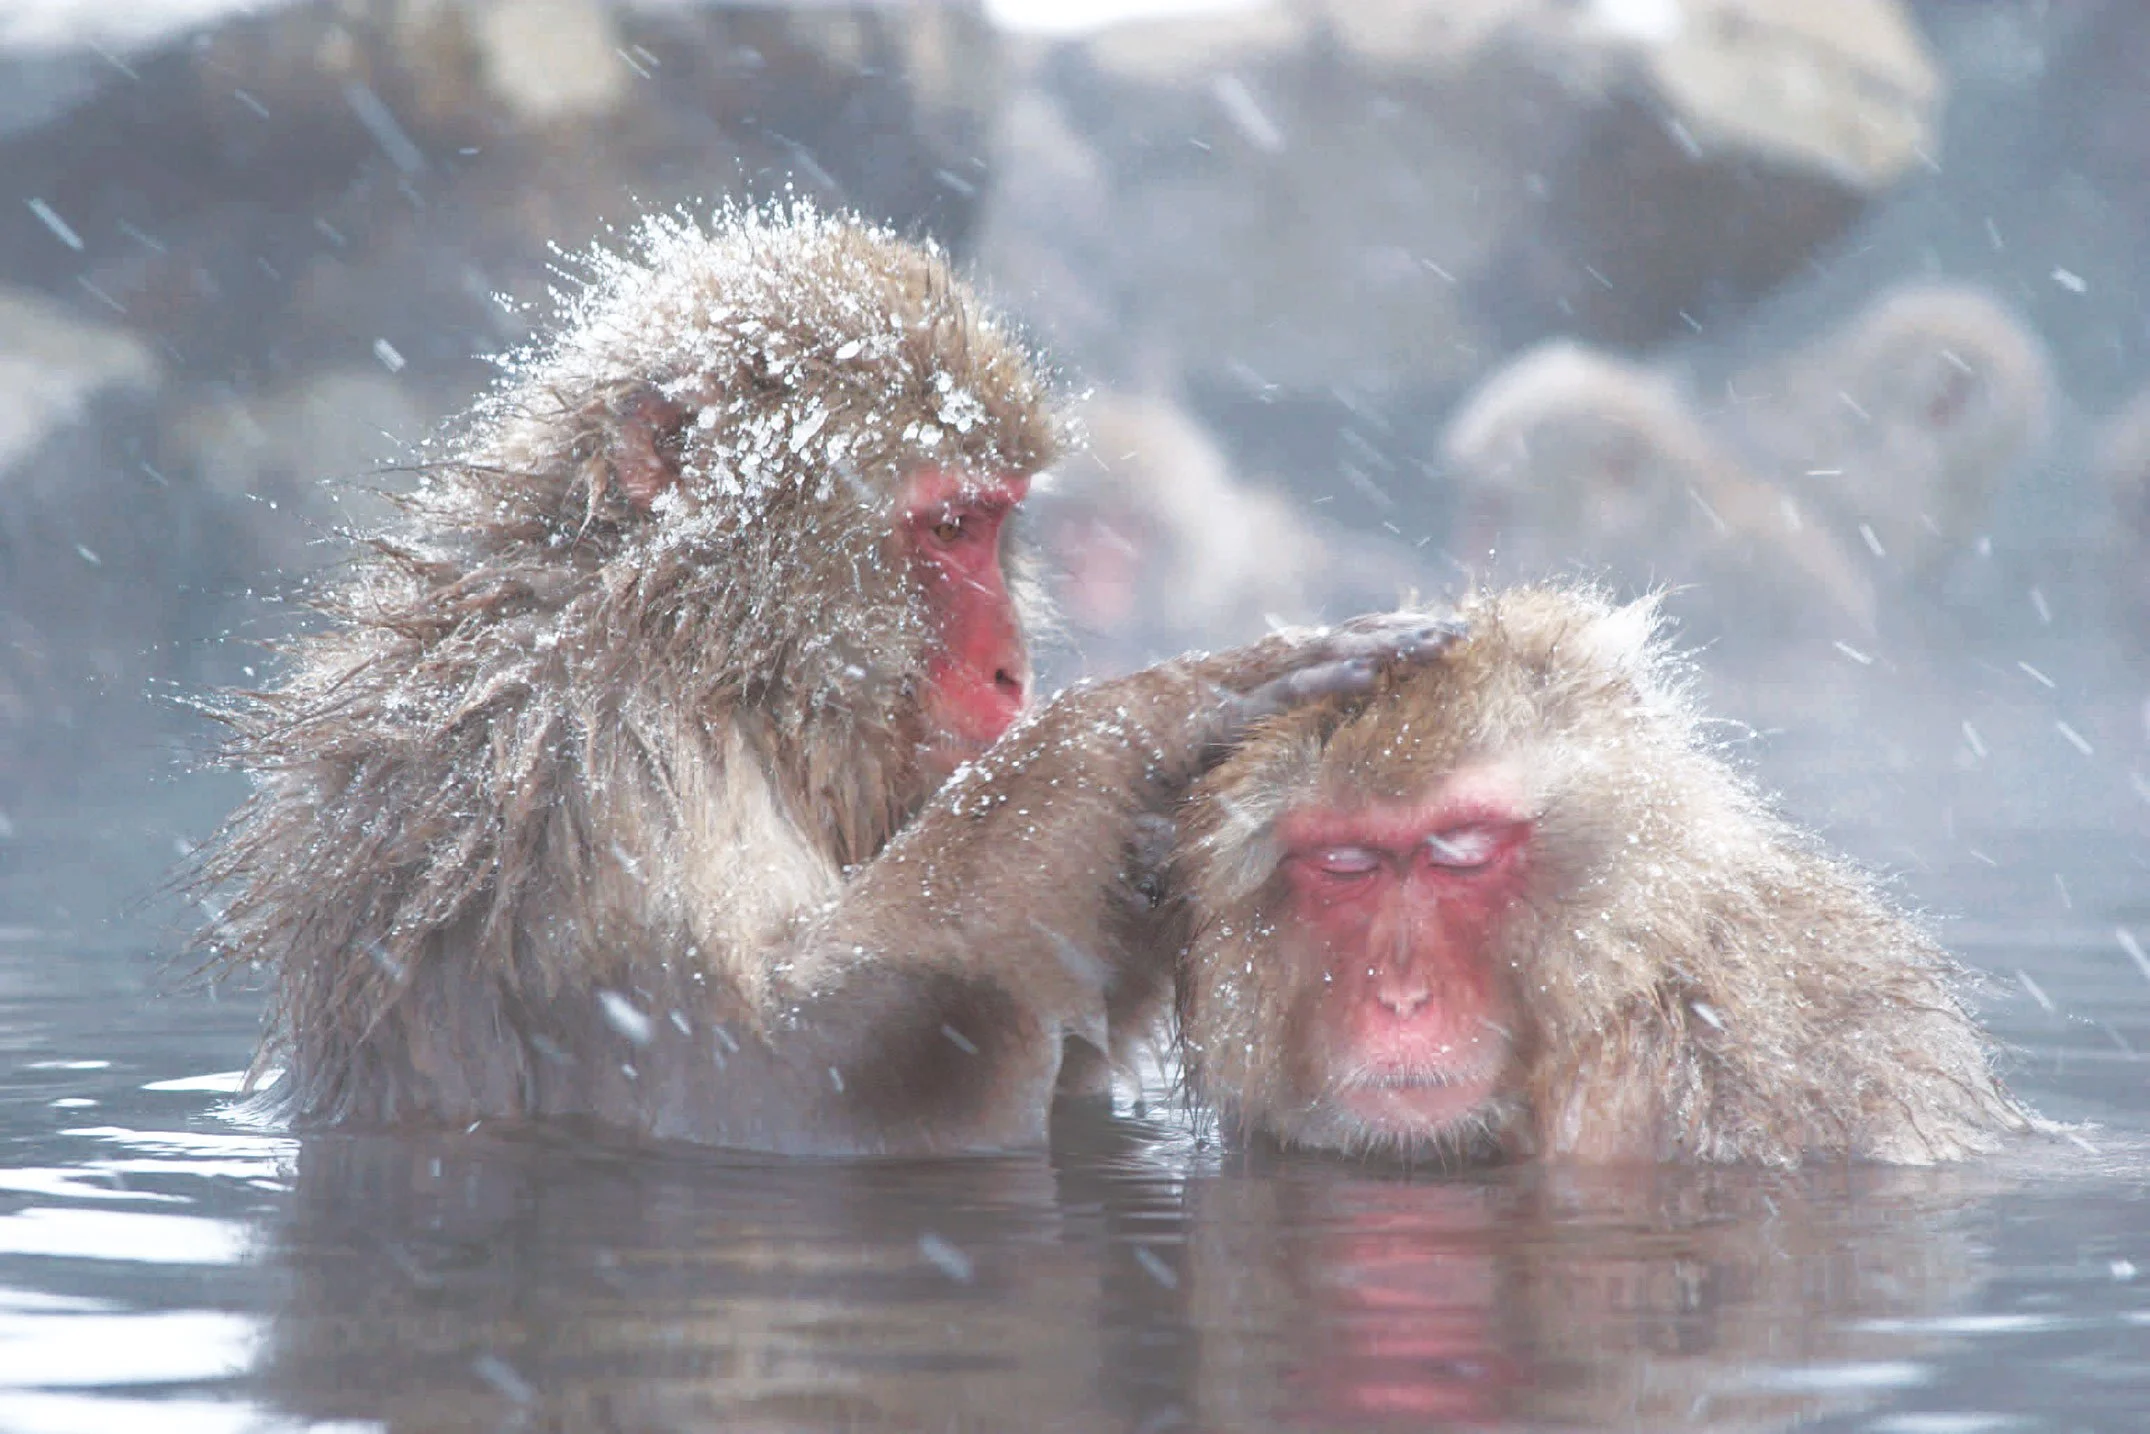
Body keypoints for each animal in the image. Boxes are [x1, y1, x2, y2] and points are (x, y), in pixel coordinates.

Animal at [189, 204, 1457, 1155]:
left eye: (998, 525)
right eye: (948, 527)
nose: (1013, 669)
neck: (691, 648)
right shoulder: (589, 782)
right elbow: (791, 1079)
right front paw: (1145, 721)